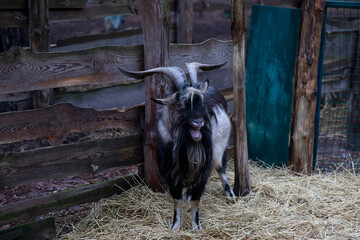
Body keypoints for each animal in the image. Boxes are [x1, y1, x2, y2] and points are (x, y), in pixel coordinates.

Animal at [118, 61, 235, 231]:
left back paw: (230, 195)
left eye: (201, 102)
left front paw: (196, 226)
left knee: (221, 168)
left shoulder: (204, 167)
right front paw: (175, 226)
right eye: (180, 104)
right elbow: (177, 200)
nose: (199, 121)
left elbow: (196, 200)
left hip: (221, 149)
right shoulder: (170, 171)